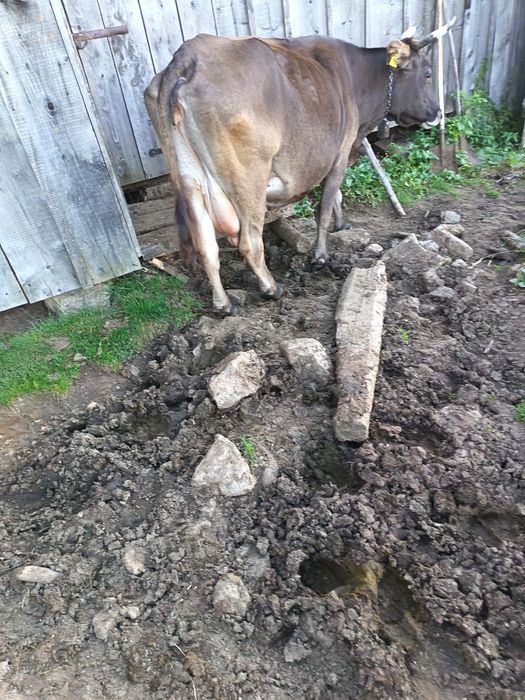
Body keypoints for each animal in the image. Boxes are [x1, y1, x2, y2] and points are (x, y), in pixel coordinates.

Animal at [145, 21, 454, 313]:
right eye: (428, 73)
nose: (437, 113)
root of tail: (187, 58)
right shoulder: (340, 152)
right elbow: (327, 204)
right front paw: (321, 256)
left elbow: (335, 198)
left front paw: (342, 225)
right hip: (248, 181)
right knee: (250, 243)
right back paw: (271, 288)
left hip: (190, 180)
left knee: (207, 247)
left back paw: (223, 304)